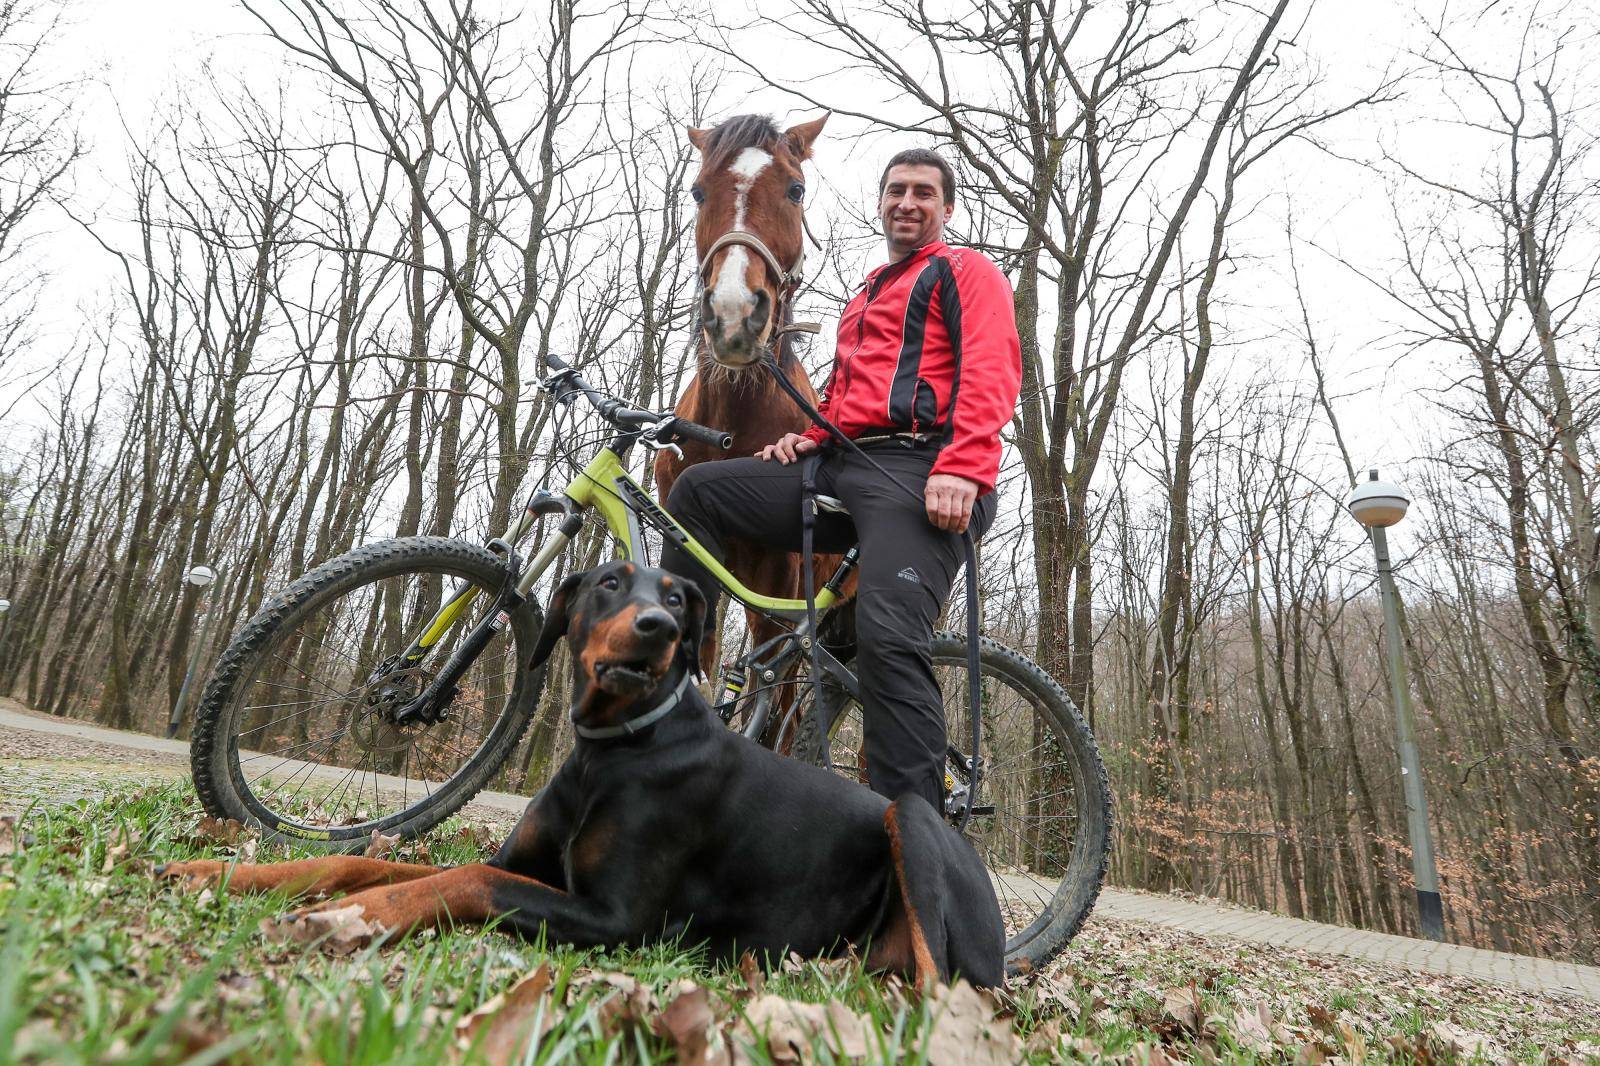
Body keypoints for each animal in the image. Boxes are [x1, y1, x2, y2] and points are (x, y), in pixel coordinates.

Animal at [150, 560, 998, 985]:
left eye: (680, 597)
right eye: (608, 583)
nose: (657, 628)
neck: (613, 746)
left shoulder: (615, 920)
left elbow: (459, 880)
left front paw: (351, 916)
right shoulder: (525, 864)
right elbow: (366, 857)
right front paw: (223, 872)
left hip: (911, 819)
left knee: (943, 981)